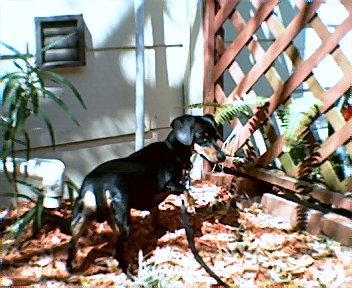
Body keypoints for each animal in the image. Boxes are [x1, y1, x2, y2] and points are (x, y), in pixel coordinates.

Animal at [66, 113, 226, 272]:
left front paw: (158, 228)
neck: (173, 151)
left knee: (73, 244)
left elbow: (156, 213)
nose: (222, 157)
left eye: (216, 136)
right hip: (123, 223)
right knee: (117, 251)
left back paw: (71, 268)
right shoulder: (169, 184)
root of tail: (98, 184)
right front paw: (190, 205)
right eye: (202, 137)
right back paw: (129, 271)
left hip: (81, 219)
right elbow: (185, 189)